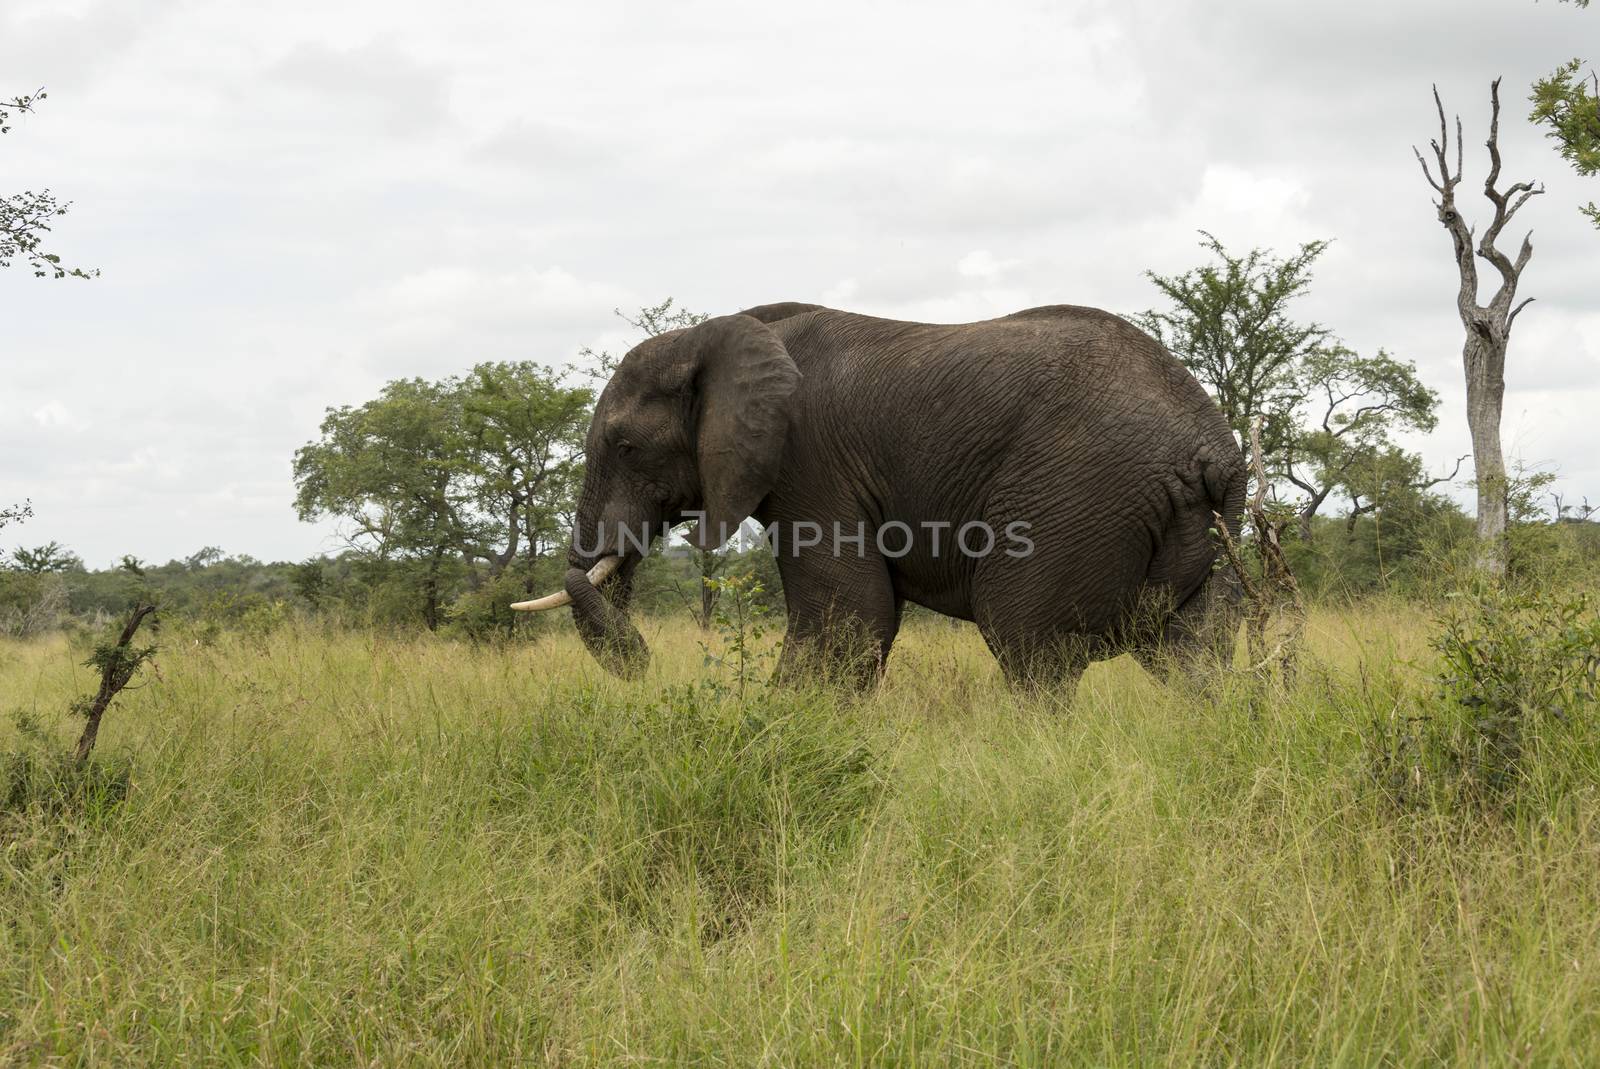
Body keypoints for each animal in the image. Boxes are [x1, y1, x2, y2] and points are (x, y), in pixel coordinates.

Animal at [515, 302, 1248, 684]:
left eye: (625, 447)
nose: (644, 664)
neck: (718, 333)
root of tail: (1212, 448)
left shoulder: (810, 462)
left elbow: (848, 618)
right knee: (1192, 658)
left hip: (1075, 495)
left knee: (1028, 645)